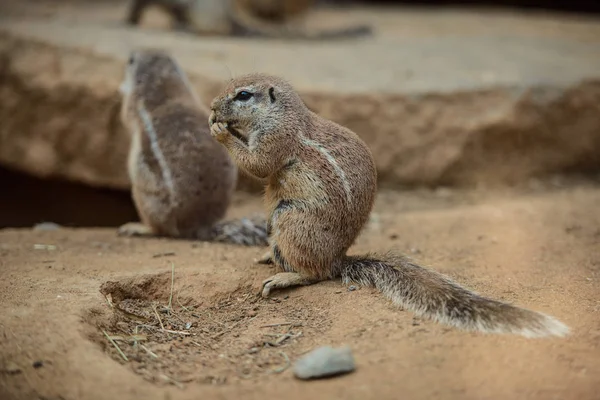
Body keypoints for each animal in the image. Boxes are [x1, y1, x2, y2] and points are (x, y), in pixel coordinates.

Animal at [117, 48, 268, 245]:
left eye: (131, 60)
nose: (131, 53)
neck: (164, 83)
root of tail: (201, 225)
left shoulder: (133, 105)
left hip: (145, 198)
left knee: (161, 229)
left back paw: (138, 228)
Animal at [210, 72, 572, 338]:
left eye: (243, 95)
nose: (212, 106)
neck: (284, 113)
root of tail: (339, 259)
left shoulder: (276, 139)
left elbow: (258, 164)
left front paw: (220, 131)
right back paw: (267, 255)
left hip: (290, 218)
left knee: (315, 273)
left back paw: (285, 277)